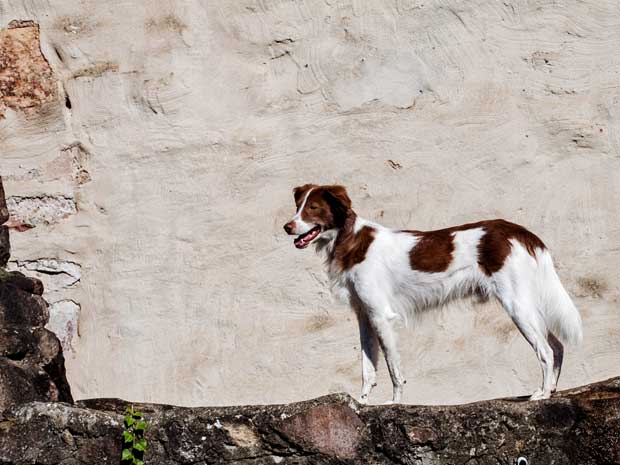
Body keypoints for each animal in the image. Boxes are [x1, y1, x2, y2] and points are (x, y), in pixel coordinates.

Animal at [284, 184, 584, 402]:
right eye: (298, 207)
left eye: (313, 208)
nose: (287, 227)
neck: (348, 241)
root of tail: (520, 231)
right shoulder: (365, 317)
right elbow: (368, 369)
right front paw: (362, 403)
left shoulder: (382, 316)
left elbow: (393, 368)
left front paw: (395, 403)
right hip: (527, 305)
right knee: (557, 346)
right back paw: (552, 390)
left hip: (516, 305)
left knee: (545, 350)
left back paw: (542, 394)